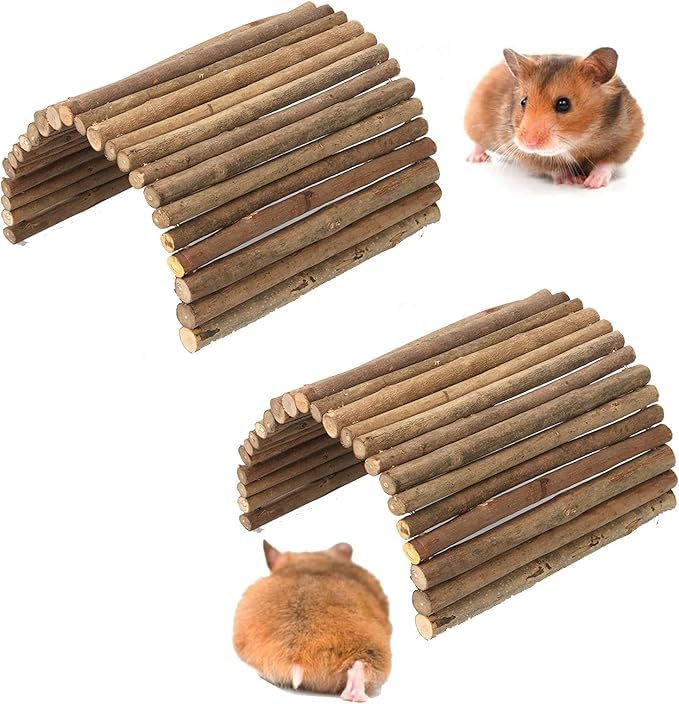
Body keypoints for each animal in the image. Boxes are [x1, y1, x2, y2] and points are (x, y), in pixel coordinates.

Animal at [464, 47, 643, 187]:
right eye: (523, 101)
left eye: (563, 104)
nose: (528, 143)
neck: (578, 142)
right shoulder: (530, 156)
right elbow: (554, 167)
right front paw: (572, 180)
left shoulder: (628, 136)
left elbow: (608, 162)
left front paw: (592, 183)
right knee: (478, 142)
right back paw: (476, 158)